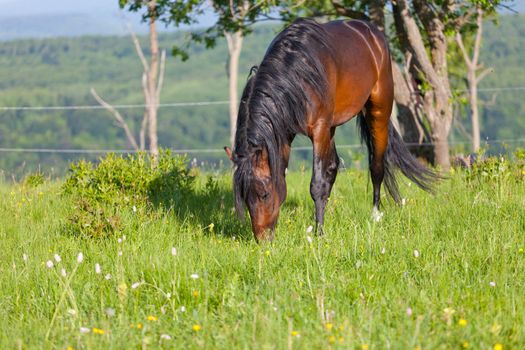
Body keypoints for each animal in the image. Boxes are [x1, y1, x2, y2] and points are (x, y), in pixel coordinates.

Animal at [223, 17, 436, 242]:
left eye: (263, 193)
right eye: (244, 196)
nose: (263, 239)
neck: (298, 72)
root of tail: (372, 33)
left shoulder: (319, 129)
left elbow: (317, 184)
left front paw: (320, 233)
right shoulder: (285, 134)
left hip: (379, 110)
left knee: (377, 167)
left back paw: (375, 216)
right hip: (333, 127)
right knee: (333, 167)